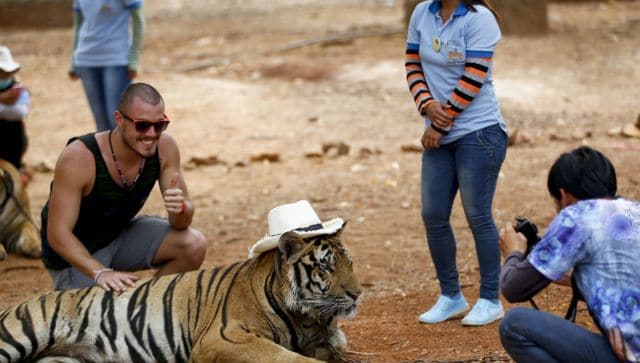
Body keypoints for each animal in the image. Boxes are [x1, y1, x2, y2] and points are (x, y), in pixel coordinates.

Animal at [0, 229, 360, 362]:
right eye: (326, 266)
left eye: (350, 262)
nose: (357, 294)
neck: (305, 317)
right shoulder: (223, 338)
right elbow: (283, 357)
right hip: (18, 335)